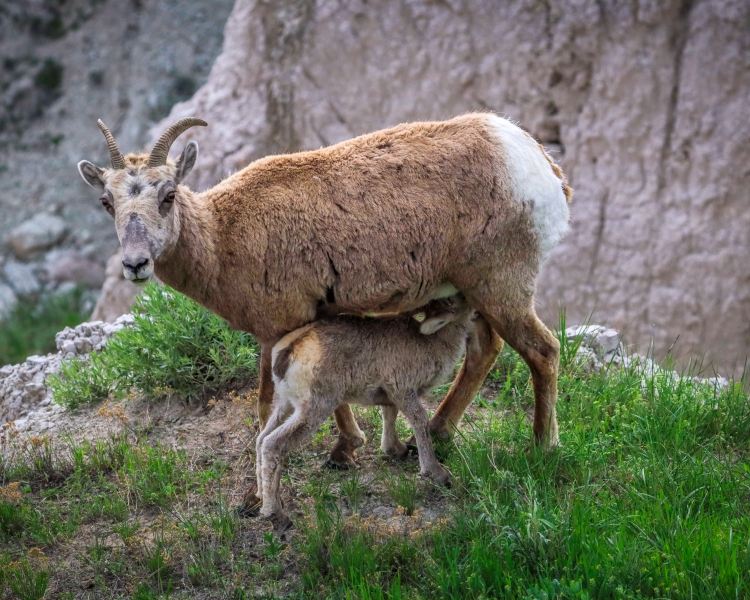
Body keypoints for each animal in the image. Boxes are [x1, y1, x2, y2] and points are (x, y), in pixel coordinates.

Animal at [79, 112, 572, 462]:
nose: (136, 264)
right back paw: (436, 433)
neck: (224, 237)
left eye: (167, 195)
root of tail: (540, 165)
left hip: (502, 286)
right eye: (106, 202)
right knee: (485, 351)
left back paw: (543, 447)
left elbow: (267, 406)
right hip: (475, 294)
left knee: (542, 351)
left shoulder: (280, 328)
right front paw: (348, 448)